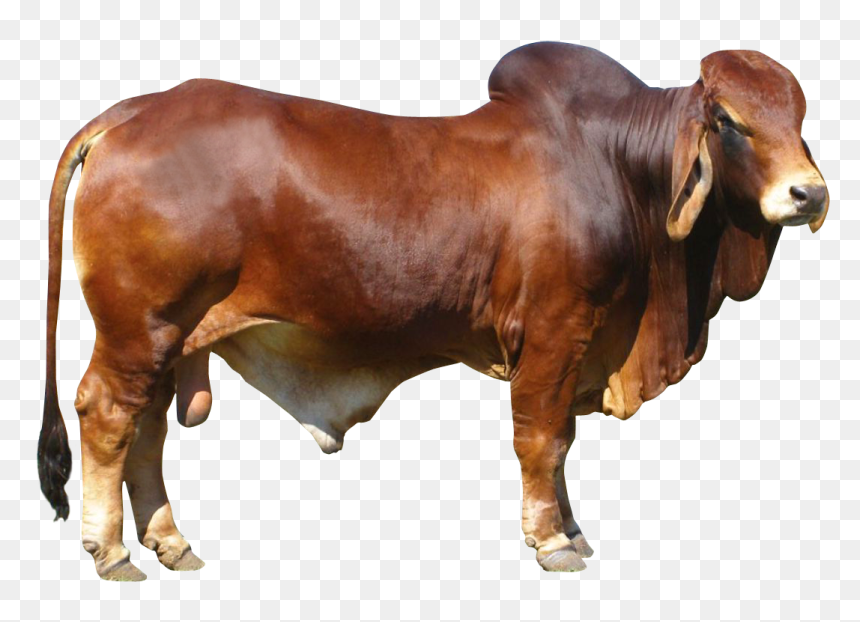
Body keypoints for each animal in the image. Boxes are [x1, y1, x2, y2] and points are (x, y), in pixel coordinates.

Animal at [39, 42, 828, 580]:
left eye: (799, 114)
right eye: (727, 119)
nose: (808, 194)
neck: (620, 166)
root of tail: (132, 112)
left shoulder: (578, 348)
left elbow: (563, 440)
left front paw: (571, 529)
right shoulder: (553, 333)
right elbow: (543, 440)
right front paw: (550, 541)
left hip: (169, 338)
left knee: (145, 430)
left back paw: (170, 543)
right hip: (140, 327)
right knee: (107, 416)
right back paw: (111, 550)